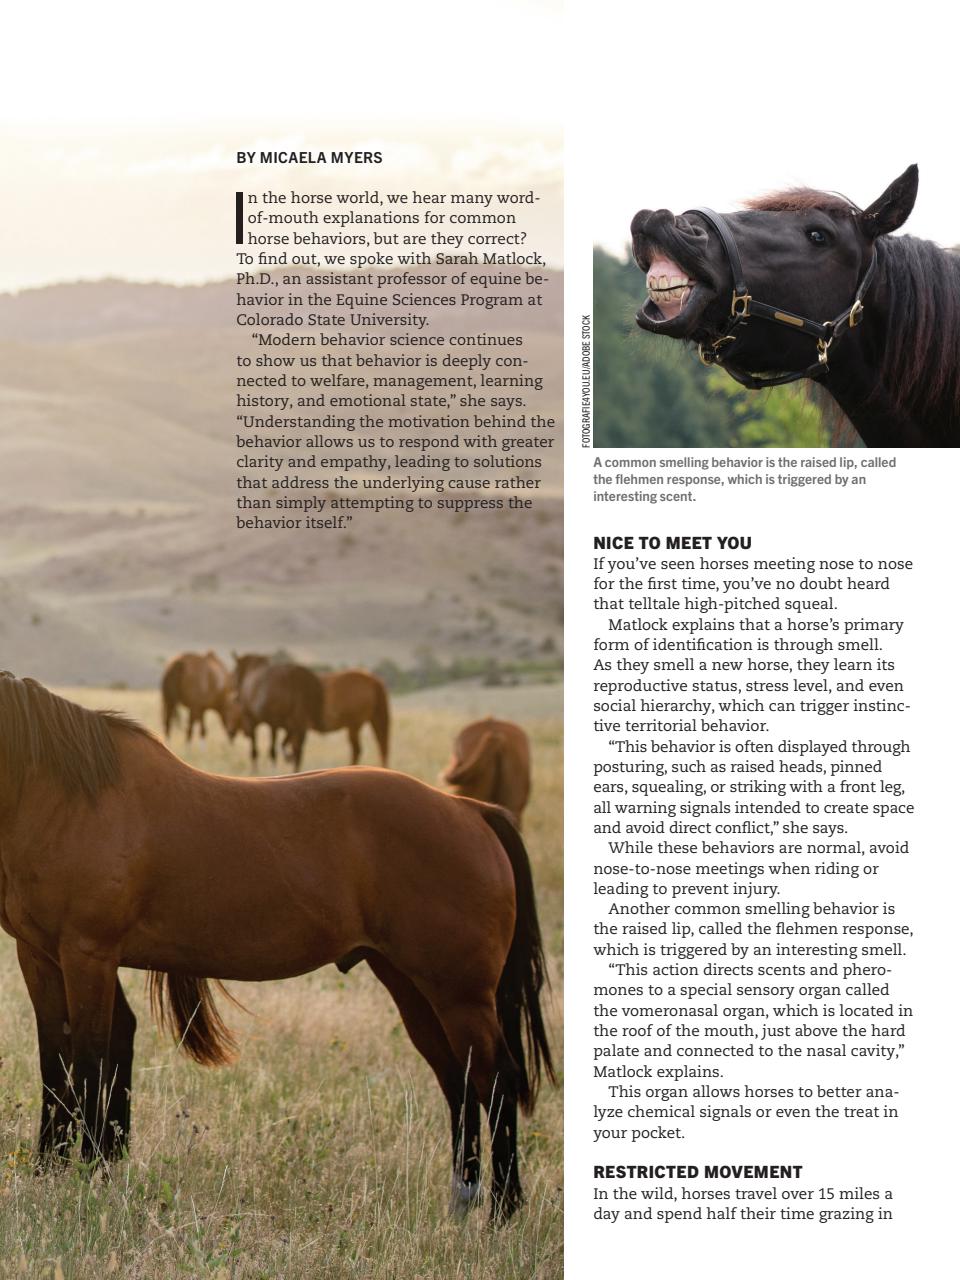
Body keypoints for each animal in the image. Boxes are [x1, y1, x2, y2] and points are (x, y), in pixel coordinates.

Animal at [0, 673, 553, 1220]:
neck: (67, 800)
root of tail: (470, 811)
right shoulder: (42, 956)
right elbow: (58, 1058)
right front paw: (53, 1171)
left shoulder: (88, 954)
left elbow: (91, 1058)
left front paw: (88, 1176)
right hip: (412, 984)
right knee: (458, 1079)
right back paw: (464, 1198)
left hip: (459, 994)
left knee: (497, 1078)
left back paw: (503, 1210)